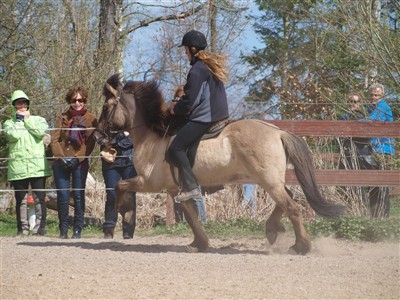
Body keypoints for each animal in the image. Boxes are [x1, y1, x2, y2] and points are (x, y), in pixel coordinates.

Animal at [95, 74, 346, 254]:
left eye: (106, 108)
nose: (97, 135)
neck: (153, 138)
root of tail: (278, 131)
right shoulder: (179, 189)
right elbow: (192, 217)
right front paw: (200, 243)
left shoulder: (148, 182)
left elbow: (120, 186)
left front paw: (126, 213)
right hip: (269, 180)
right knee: (288, 200)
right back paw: (273, 230)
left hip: (267, 180)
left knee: (292, 207)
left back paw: (300, 246)